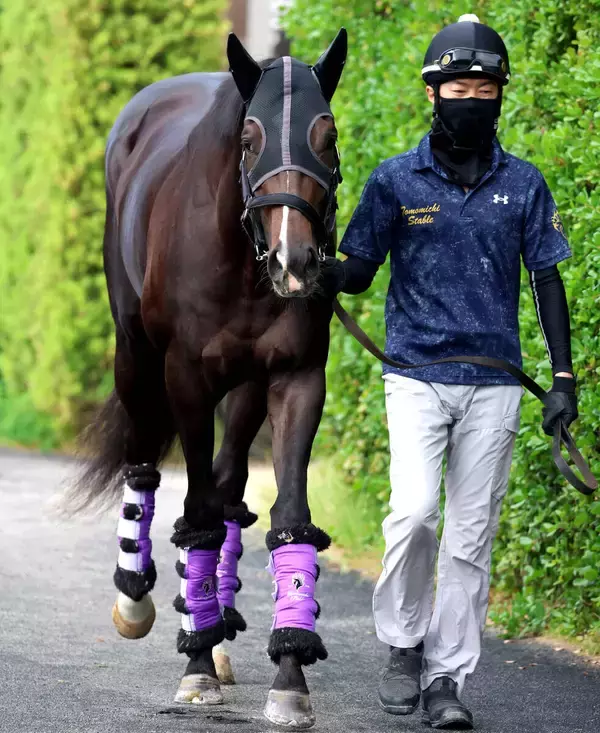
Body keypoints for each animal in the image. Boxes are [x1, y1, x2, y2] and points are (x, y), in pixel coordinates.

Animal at [72, 30, 348, 729]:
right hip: (135, 358)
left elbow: (287, 515)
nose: (295, 261)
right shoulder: (186, 379)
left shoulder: (296, 379)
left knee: (227, 487)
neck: (240, 259)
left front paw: (289, 672)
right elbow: (193, 507)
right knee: (145, 459)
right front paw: (194, 667)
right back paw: (139, 599)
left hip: (245, 390)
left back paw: (215, 625)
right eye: (249, 139)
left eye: (327, 135)